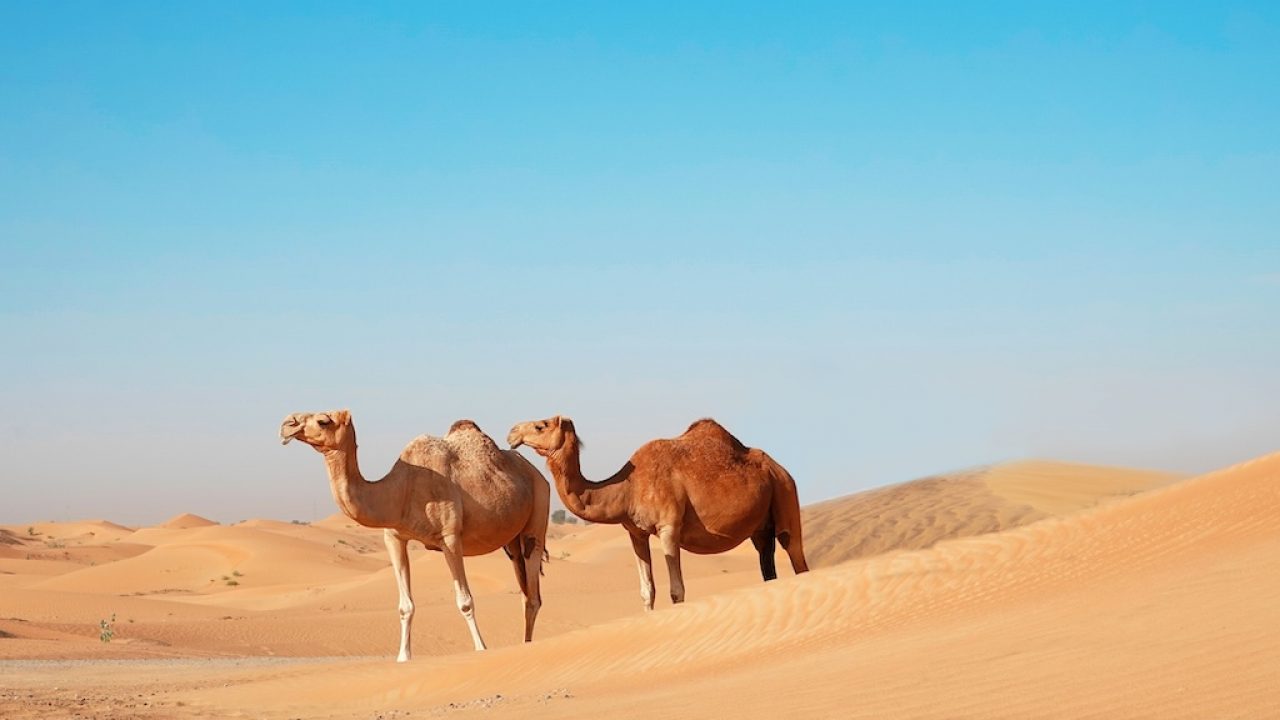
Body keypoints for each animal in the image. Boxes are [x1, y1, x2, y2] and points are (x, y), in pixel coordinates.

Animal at [280, 410, 550, 661]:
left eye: (324, 420)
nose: (286, 424)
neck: (400, 490)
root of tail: (538, 473)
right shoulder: (393, 537)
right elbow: (405, 606)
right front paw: (403, 657)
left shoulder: (450, 537)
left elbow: (465, 601)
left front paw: (481, 649)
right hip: (511, 542)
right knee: (526, 590)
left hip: (537, 515)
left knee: (533, 593)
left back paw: (526, 645)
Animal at [507, 416, 807, 610]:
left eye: (541, 425)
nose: (512, 433)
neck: (627, 488)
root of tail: (780, 469)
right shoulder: (635, 533)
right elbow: (646, 591)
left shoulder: (668, 527)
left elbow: (677, 590)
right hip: (761, 527)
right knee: (768, 565)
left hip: (785, 492)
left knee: (795, 552)